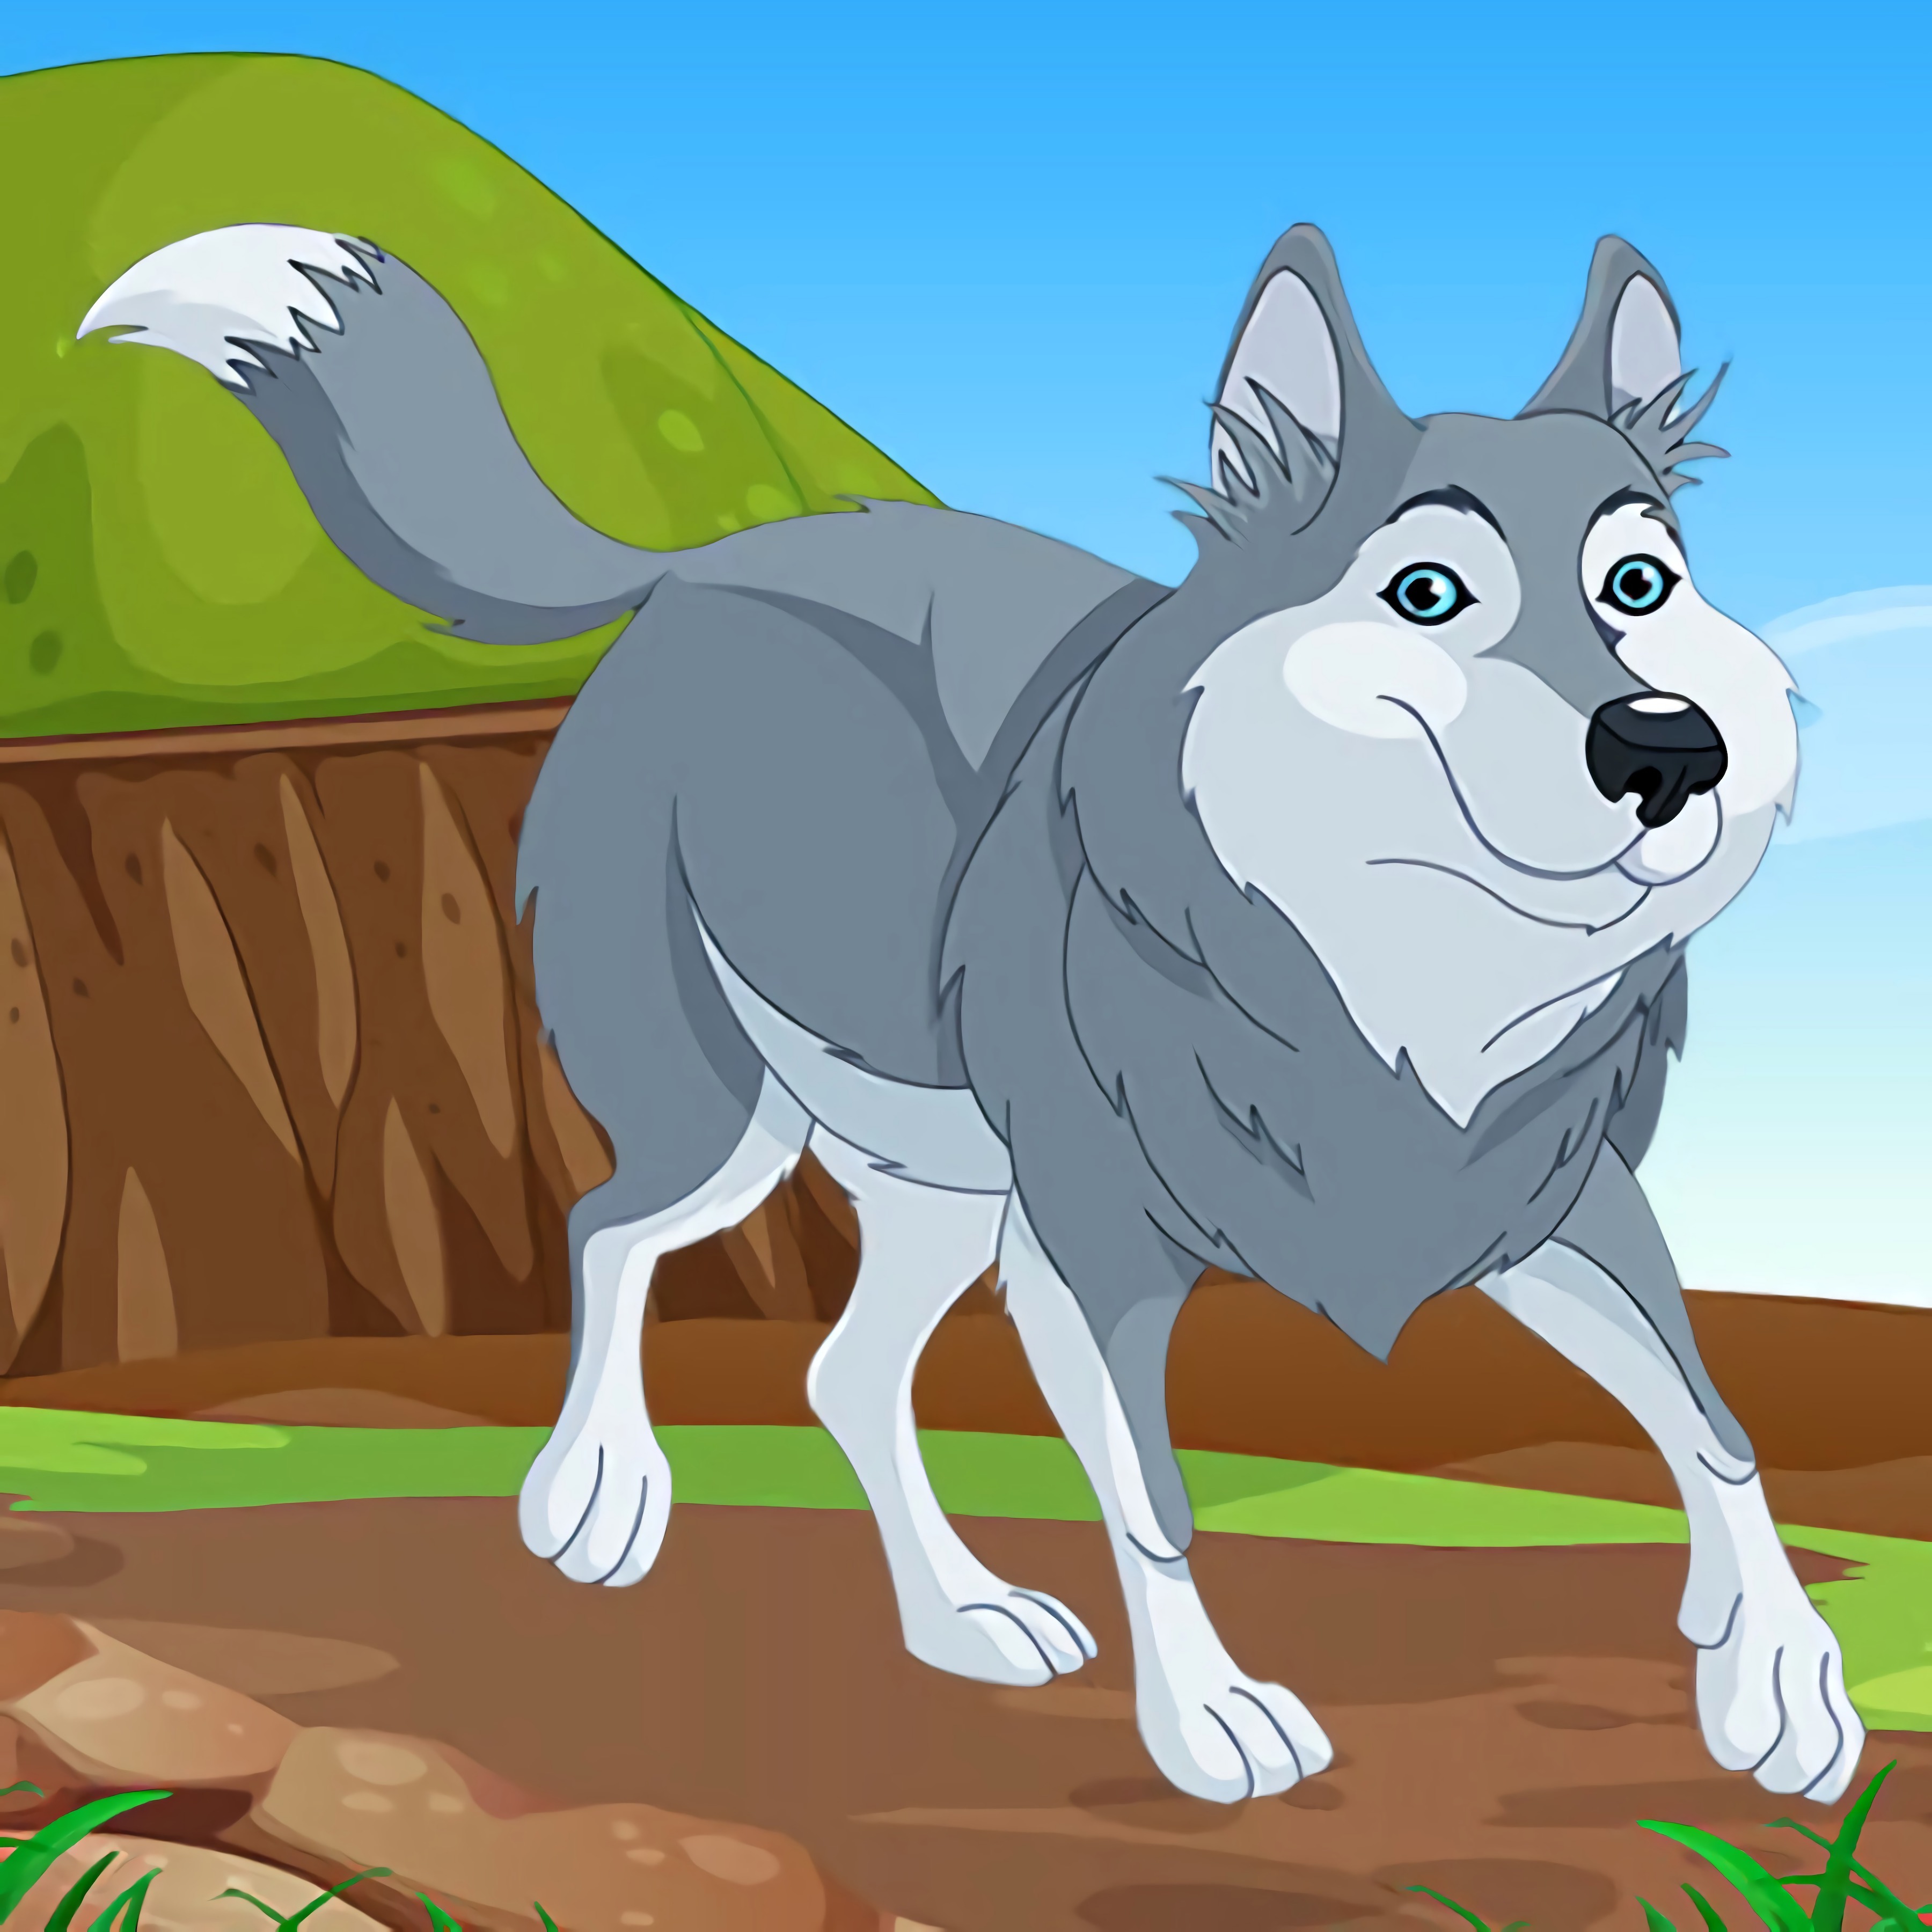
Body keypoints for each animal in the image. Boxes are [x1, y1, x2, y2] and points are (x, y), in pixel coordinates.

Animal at [80, 219, 1862, 1805]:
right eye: (1426, 594)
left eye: (1641, 584)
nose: (1669, 748)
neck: (1386, 958)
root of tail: (709, 560)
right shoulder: (1097, 1248)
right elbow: (1154, 1498)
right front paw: (1211, 1720)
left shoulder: (1548, 1204)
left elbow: (1712, 1422)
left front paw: (1772, 1675)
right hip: (734, 1121)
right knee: (611, 1229)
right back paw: (596, 1491)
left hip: (946, 1185)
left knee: (842, 1376)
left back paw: (960, 1615)